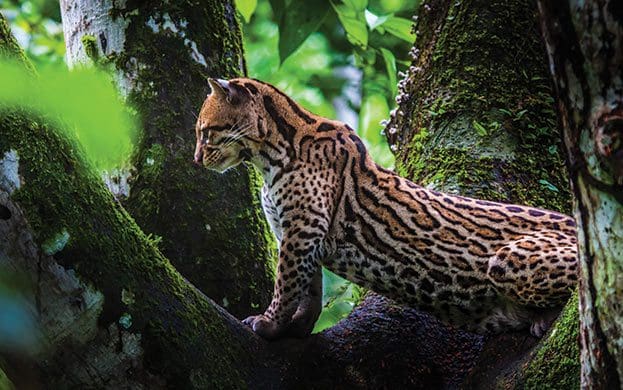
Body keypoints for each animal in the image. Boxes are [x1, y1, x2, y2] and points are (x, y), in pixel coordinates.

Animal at [193, 77, 576, 340]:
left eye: (205, 131)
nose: (196, 159)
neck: (267, 158)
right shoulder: (297, 232)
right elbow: (309, 289)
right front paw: (297, 327)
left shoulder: (301, 229)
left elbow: (287, 284)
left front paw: (269, 323)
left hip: (508, 258)